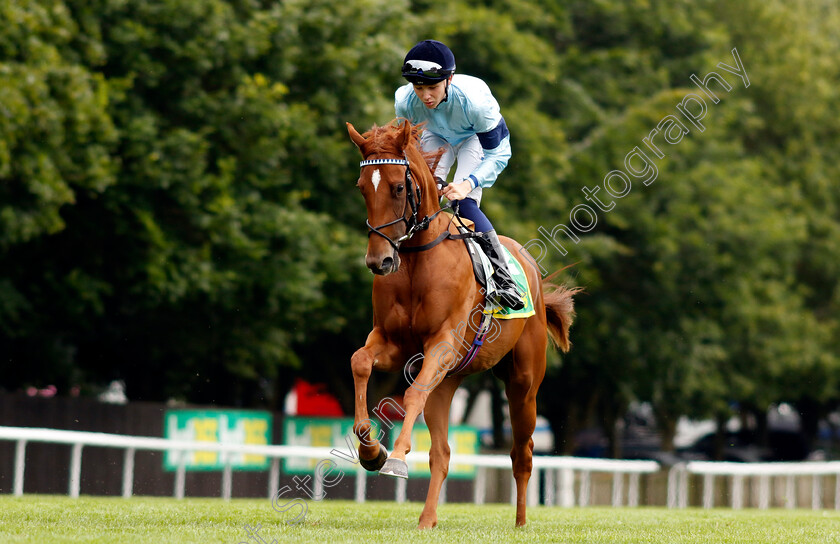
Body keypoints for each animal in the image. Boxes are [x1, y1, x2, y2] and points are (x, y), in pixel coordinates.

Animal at [344, 118, 576, 528]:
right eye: (362, 187)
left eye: (399, 187)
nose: (379, 261)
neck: (417, 260)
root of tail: (531, 268)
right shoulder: (393, 343)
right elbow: (360, 362)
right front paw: (371, 450)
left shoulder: (442, 344)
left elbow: (411, 394)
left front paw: (397, 459)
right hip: (448, 382)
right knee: (443, 452)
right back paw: (427, 519)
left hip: (524, 383)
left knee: (522, 452)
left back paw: (520, 522)